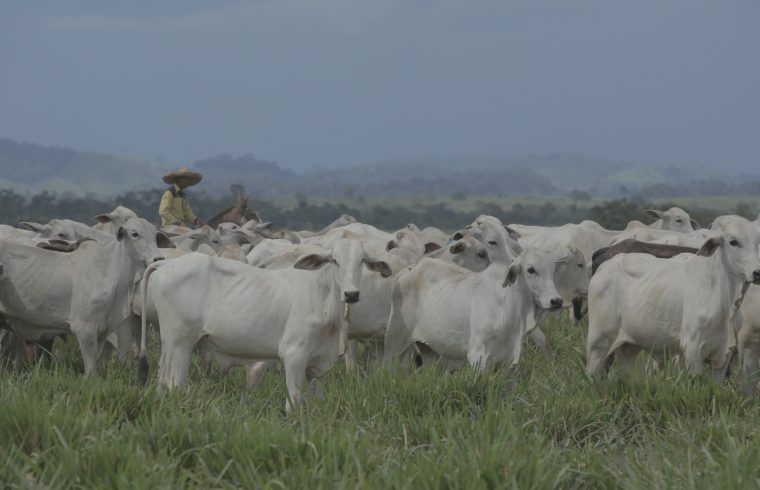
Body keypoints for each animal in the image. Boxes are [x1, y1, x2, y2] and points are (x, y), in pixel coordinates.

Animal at [0, 216, 165, 374]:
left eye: (155, 235)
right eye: (135, 234)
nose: (158, 259)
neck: (109, 271)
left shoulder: (102, 332)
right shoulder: (85, 330)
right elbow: (92, 372)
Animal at [141, 239, 392, 408]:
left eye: (362, 261)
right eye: (335, 261)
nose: (351, 294)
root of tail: (167, 264)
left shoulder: (321, 366)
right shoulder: (293, 356)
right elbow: (295, 403)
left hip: (170, 346)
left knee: (162, 381)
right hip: (180, 344)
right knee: (174, 384)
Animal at [588, 215, 760, 378]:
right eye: (733, 242)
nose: (757, 272)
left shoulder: (722, 358)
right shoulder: (693, 350)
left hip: (628, 346)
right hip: (599, 342)